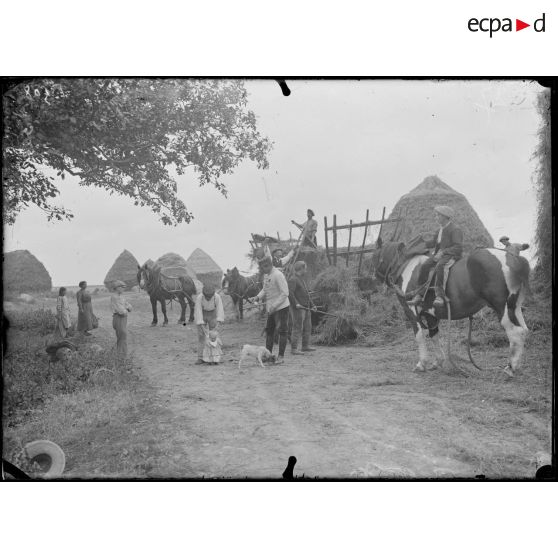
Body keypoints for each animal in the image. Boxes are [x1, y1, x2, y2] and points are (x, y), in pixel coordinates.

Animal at [372, 238, 532, 378]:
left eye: (374, 256)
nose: (375, 280)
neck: (407, 267)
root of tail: (513, 258)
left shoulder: (411, 312)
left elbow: (419, 336)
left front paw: (422, 364)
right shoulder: (431, 315)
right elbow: (434, 335)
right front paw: (438, 362)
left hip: (502, 307)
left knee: (515, 333)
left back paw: (510, 368)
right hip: (514, 307)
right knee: (524, 330)